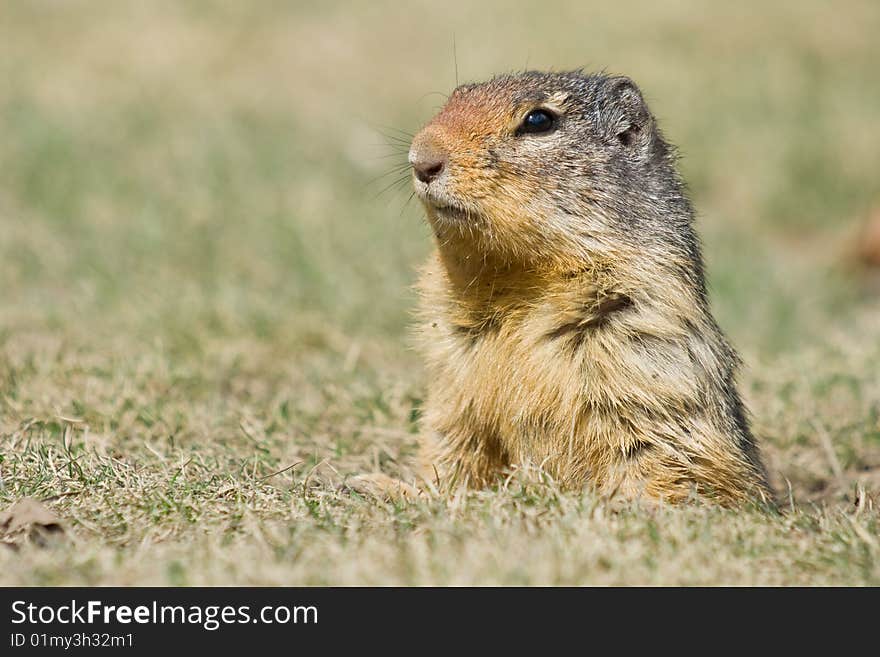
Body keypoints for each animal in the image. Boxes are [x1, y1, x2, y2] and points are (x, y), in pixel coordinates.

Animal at [358, 69, 768, 504]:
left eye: (539, 120)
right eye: (455, 97)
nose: (421, 158)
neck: (516, 283)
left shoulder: (646, 354)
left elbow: (662, 458)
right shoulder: (452, 373)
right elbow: (454, 442)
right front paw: (389, 485)